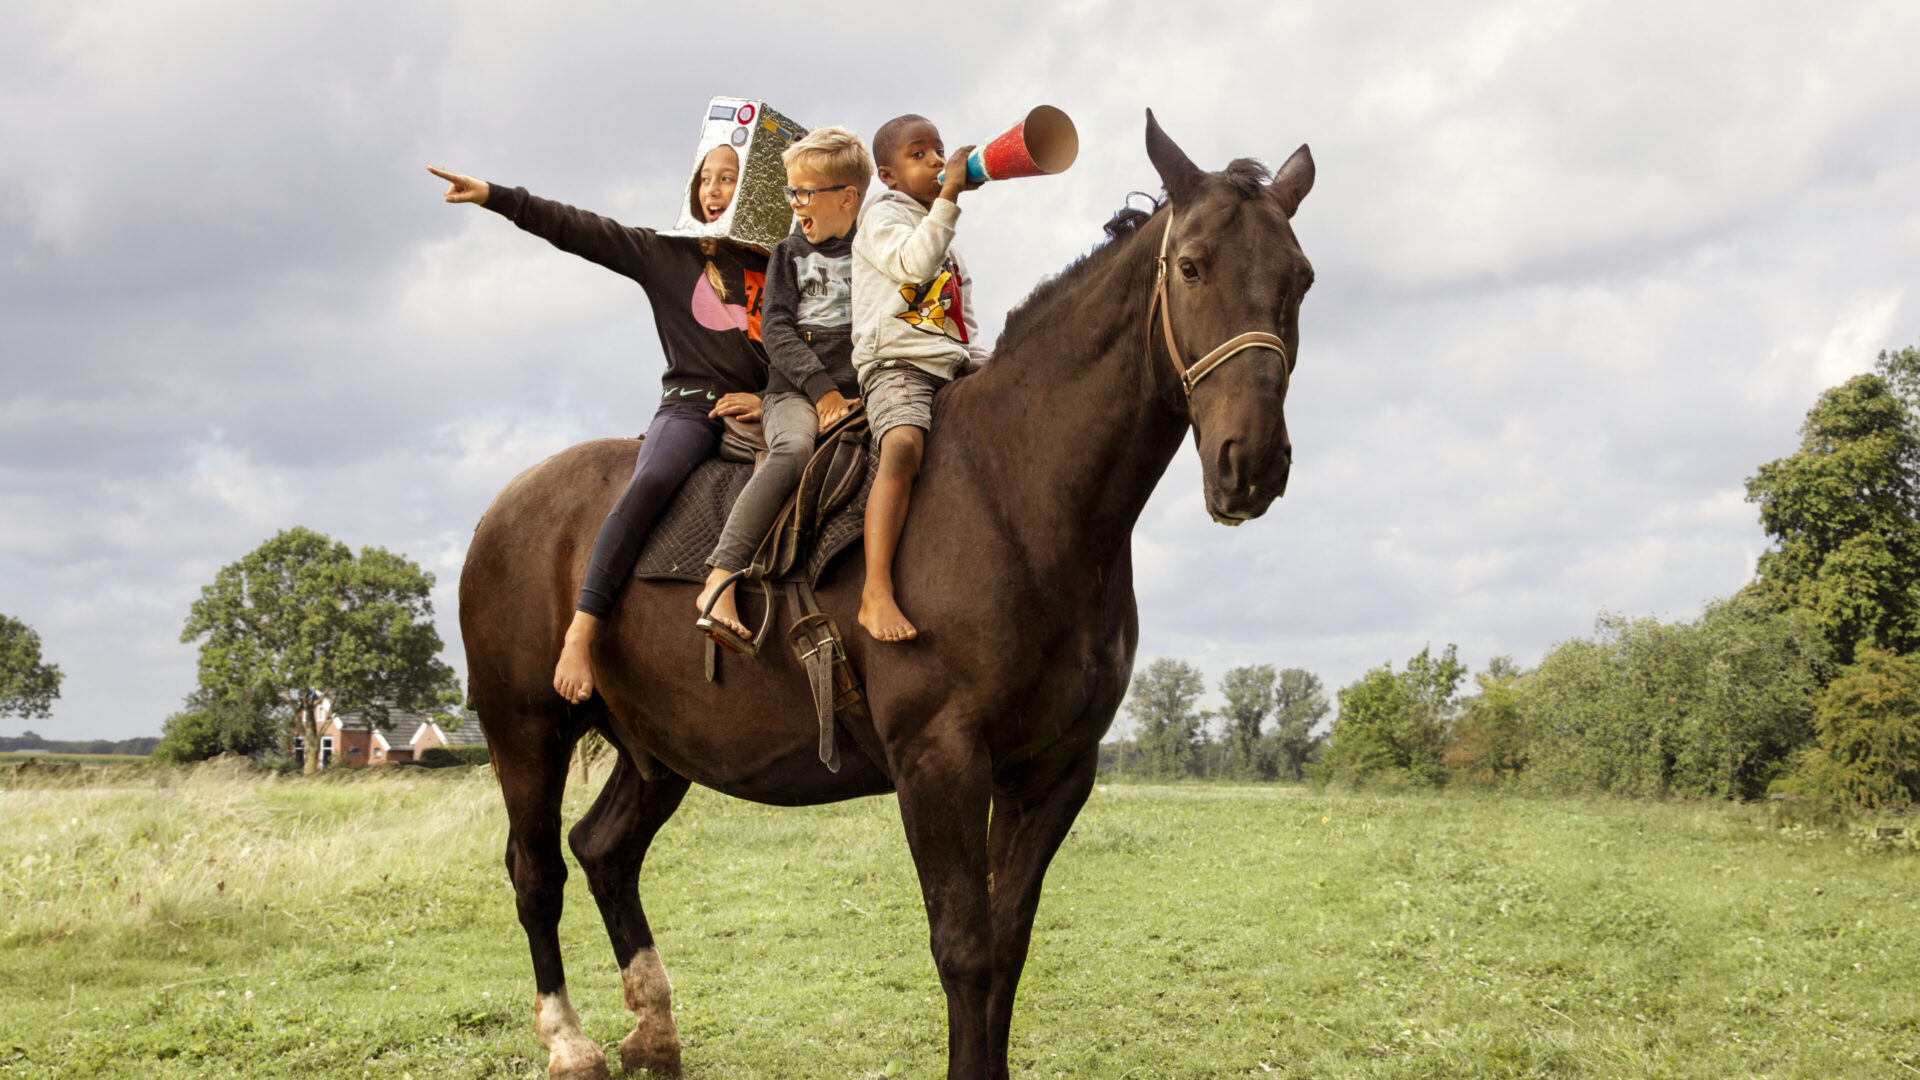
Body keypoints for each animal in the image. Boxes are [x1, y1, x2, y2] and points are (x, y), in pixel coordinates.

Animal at [456, 111, 1313, 1076]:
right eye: (1192, 265)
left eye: (1301, 279)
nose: (1252, 463)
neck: (1014, 487)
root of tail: (505, 507)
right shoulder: (938, 761)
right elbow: (965, 949)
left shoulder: (1056, 770)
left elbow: (1007, 946)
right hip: (525, 730)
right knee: (537, 871)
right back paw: (570, 1041)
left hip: (658, 748)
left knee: (602, 851)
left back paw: (654, 1028)